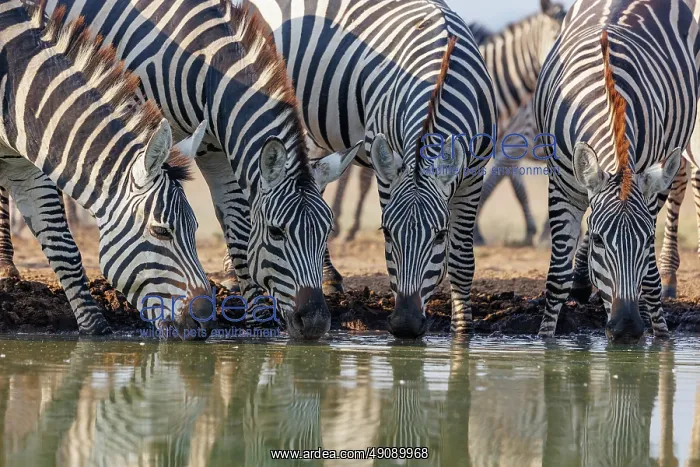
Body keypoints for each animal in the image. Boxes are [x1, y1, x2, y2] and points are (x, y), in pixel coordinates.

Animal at [0, 1, 213, 335]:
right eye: (161, 231)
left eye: (195, 229)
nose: (204, 322)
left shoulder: (24, 170)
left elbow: (64, 249)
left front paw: (95, 329)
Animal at [26, 0, 360, 340]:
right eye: (276, 232)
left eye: (326, 232)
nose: (315, 322)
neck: (205, 67)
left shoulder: (214, 148)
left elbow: (238, 229)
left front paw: (259, 321)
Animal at [247, 0, 498, 338]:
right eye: (387, 232)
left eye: (440, 235)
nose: (405, 324)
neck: (441, 74)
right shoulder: (387, 170)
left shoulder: (474, 173)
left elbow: (461, 261)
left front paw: (462, 333)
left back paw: (328, 276)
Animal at [533, 0, 700, 341]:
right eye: (599, 240)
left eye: (648, 241)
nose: (627, 328)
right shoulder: (561, 187)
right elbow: (556, 277)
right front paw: (545, 340)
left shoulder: (648, 188)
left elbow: (649, 280)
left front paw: (660, 337)